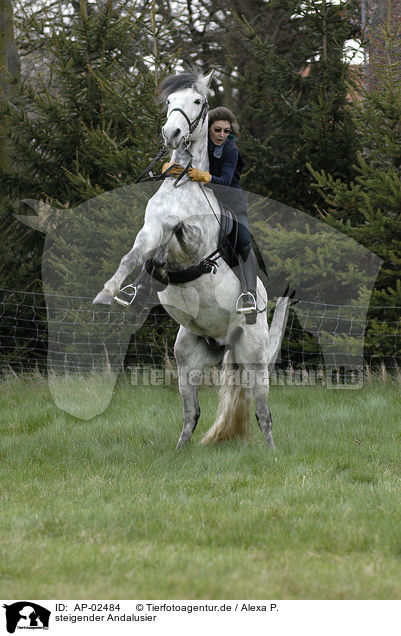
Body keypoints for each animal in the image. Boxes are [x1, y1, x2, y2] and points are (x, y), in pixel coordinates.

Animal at [93, 71, 288, 448]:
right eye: (170, 101)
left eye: (197, 101)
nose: (171, 133)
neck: (181, 185)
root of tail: (224, 342)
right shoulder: (149, 229)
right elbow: (133, 255)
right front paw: (111, 292)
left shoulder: (195, 240)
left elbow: (180, 231)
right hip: (188, 358)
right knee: (191, 412)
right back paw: (180, 450)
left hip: (255, 358)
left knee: (264, 413)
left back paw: (273, 453)